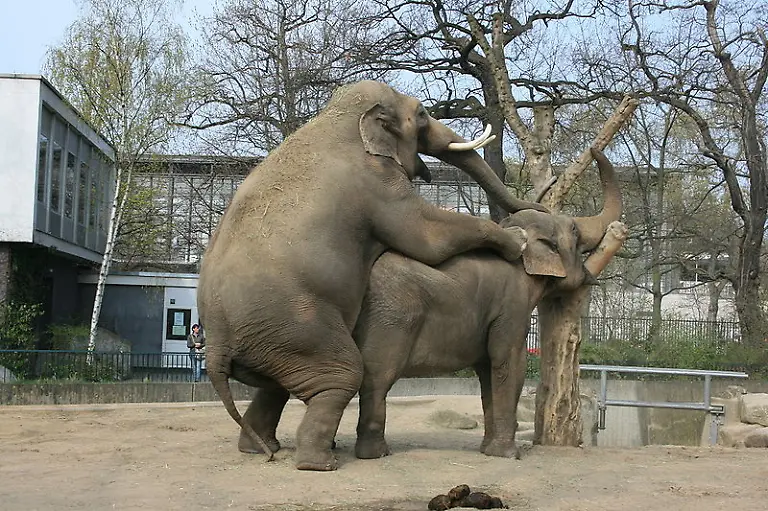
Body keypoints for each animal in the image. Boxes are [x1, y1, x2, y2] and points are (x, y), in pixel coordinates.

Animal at [197, 80, 549, 471]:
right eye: (422, 113)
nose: (539, 205)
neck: (339, 116)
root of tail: (215, 346)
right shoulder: (378, 181)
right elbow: (427, 235)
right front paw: (518, 241)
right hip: (295, 327)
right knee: (344, 374)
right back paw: (321, 463)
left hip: (270, 341)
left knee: (275, 386)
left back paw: (263, 449)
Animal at [352, 148, 622, 460]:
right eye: (576, 233)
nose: (593, 150)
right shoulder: (512, 305)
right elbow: (508, 362)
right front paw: (509, 454)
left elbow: (487, 371)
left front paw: (488, 450)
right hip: (391, 318)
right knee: (378, 377)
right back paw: (375, 453)